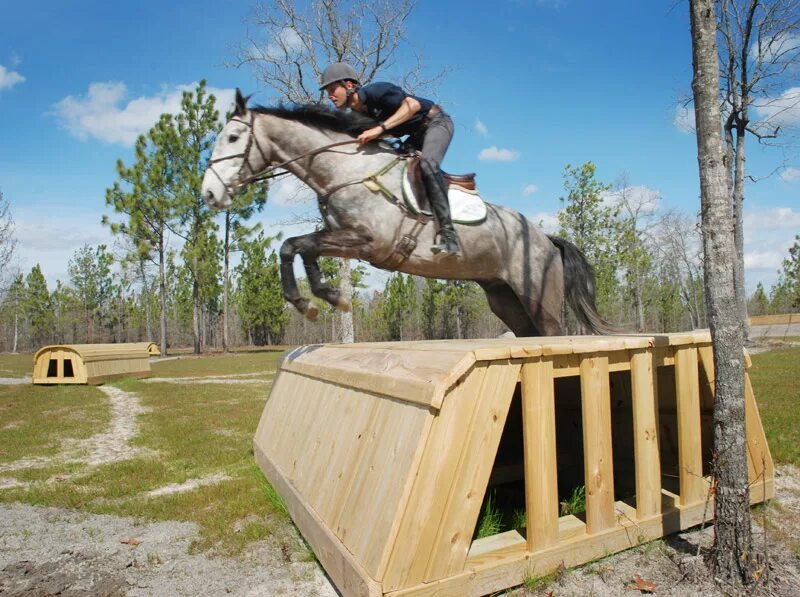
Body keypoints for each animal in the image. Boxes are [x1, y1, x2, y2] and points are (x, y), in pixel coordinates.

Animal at [200, 91, 612, 338]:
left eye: (233, 139)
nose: (208, 194)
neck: (344, 169)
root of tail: (546, 239)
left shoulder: (367, 241)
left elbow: (297, 245)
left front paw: (318, 299)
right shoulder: (345, 239)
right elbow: (297, 247)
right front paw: (321, 300)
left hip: (540, 302)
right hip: (504, 299)